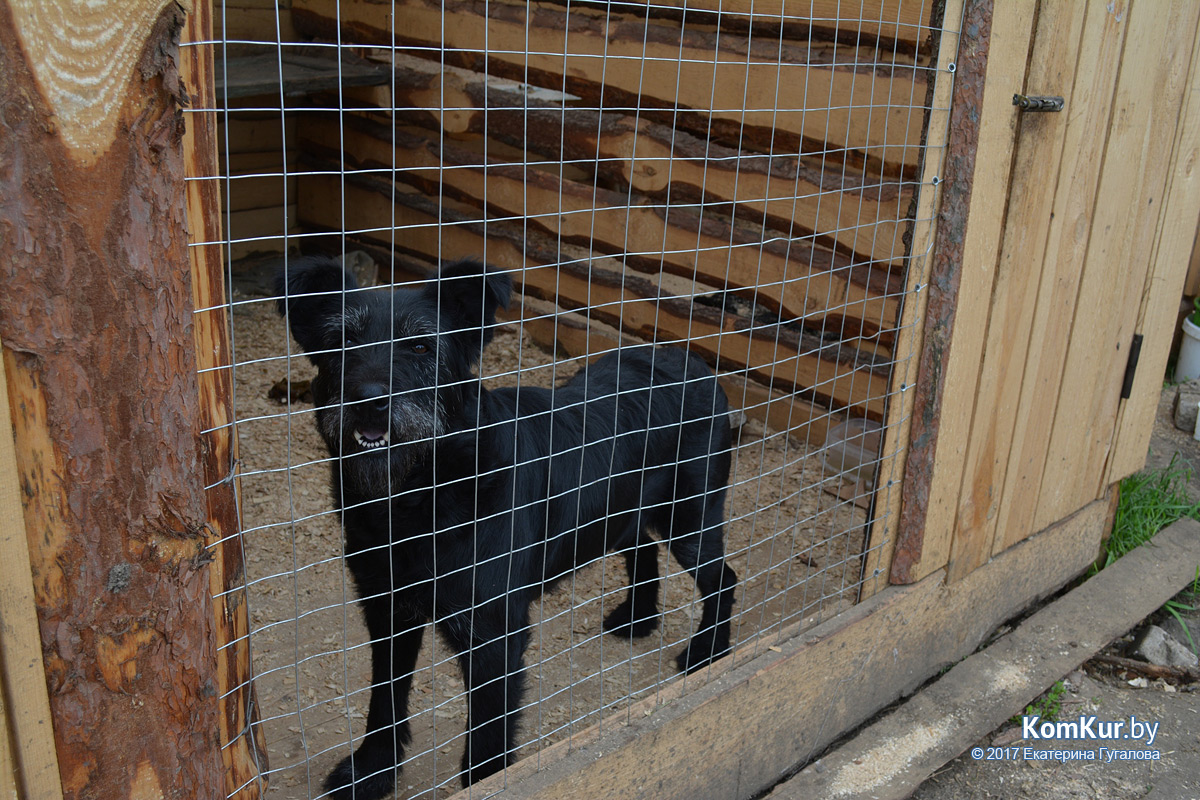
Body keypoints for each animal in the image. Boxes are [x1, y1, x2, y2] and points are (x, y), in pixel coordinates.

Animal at [274, 257, 734, 800]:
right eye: (341, 341)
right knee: (641, 547)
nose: (369, 401)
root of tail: (697, 363)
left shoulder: (493, 631)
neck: (421, 493)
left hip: (691, 518)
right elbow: (384, 697)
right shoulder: (386, 608)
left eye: (421, 346)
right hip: (623, 510)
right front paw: (371, 771)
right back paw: (638, 618)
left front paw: (488, 781)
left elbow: (490, 727)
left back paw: (709, 650)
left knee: (722, 578)